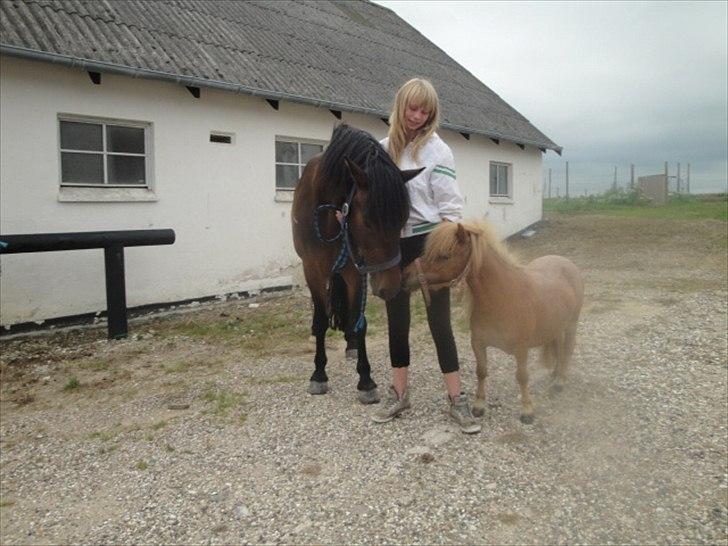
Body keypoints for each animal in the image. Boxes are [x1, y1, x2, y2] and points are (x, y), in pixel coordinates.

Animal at [292, 124, 422, 404]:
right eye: (369, 222)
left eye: (403, 219)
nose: (391, 288)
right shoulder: (312, 270)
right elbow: (321, 320)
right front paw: (318, 375)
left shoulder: (355, 271)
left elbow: (359, 321)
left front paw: (365, 380)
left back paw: (351, 343)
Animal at [402, 219, 584, 423]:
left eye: (445, 255)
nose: (405, 275)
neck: (501, 297)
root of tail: (564, 261)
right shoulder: (478, 343)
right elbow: (481, 371)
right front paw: (479, 406)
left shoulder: (521, 348)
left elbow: (522, 376)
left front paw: (527, 410)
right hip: (556, 325)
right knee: (558, 347)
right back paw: (555, 373)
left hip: (571, 324)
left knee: (567, 349)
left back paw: (560, 381)